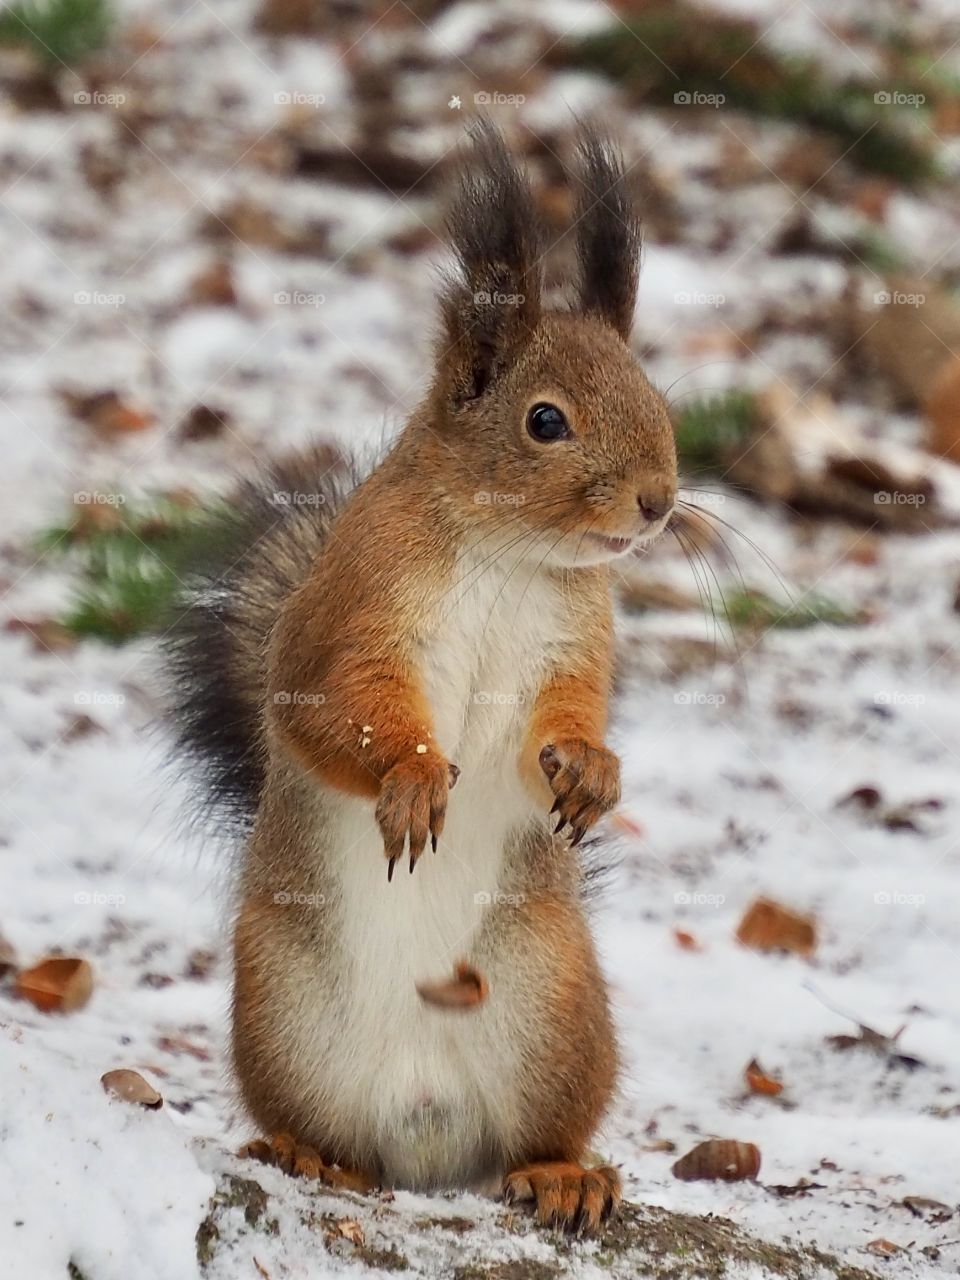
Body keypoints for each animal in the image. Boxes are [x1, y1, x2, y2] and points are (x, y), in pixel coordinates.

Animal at [165, 123, 677, 1234]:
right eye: (544, 421)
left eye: (656, 397)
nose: (659, 501)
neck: (507, 554)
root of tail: (424, 1131)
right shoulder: (350, 619)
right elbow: (336, 712)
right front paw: (409, 778)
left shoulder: (573, 646)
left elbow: (553, 735)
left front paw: (595, 770)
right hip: (279, 1006)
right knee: (319, 1124)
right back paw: (310, 1152)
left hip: (554, 1001)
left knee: (533, 1135)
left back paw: (565, 1172)